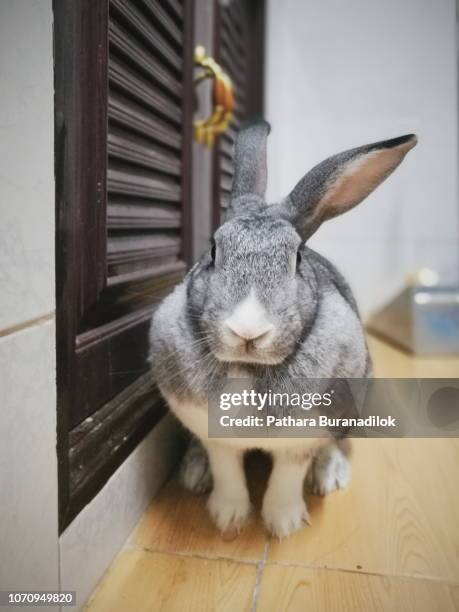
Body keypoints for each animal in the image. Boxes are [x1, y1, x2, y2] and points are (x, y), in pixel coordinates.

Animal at [150, 119, 416, 536]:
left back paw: (329, 476)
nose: (247, 331)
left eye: (297, 258)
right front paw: (228, 518)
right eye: (213, 250)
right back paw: (195, 472)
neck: (247, 369)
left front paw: (283, 524)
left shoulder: (303, 438)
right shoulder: (215, 437)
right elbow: (228, 471)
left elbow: (287, 477)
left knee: (334, 445)